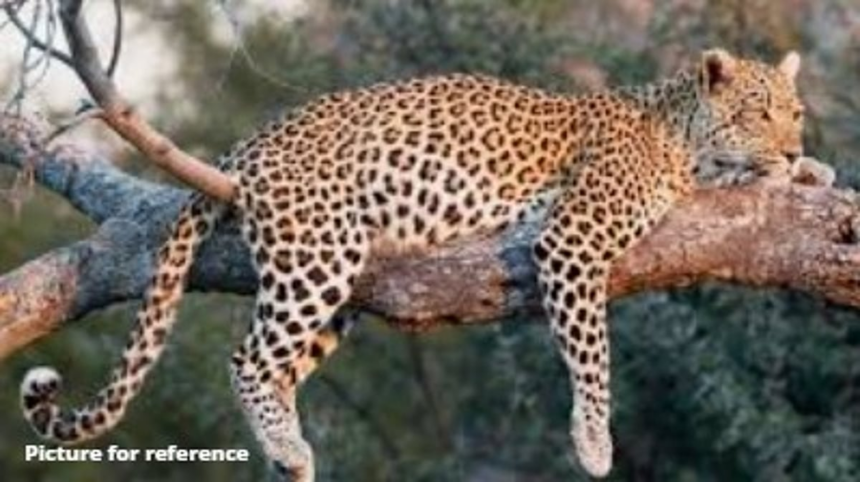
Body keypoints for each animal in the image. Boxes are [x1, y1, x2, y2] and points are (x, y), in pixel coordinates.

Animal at [19, 49, 810, 480]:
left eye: (796, 113)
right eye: (758, 110)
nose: (797, 144)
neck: (681, 136)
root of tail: (249, 143)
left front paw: (807, 173)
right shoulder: (573, 240)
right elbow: (593, 355)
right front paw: (592, 443)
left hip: (341, 281)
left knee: (280, 367)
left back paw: (291, 452)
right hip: (318, 253)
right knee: (248, 359)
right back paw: (291, 449)